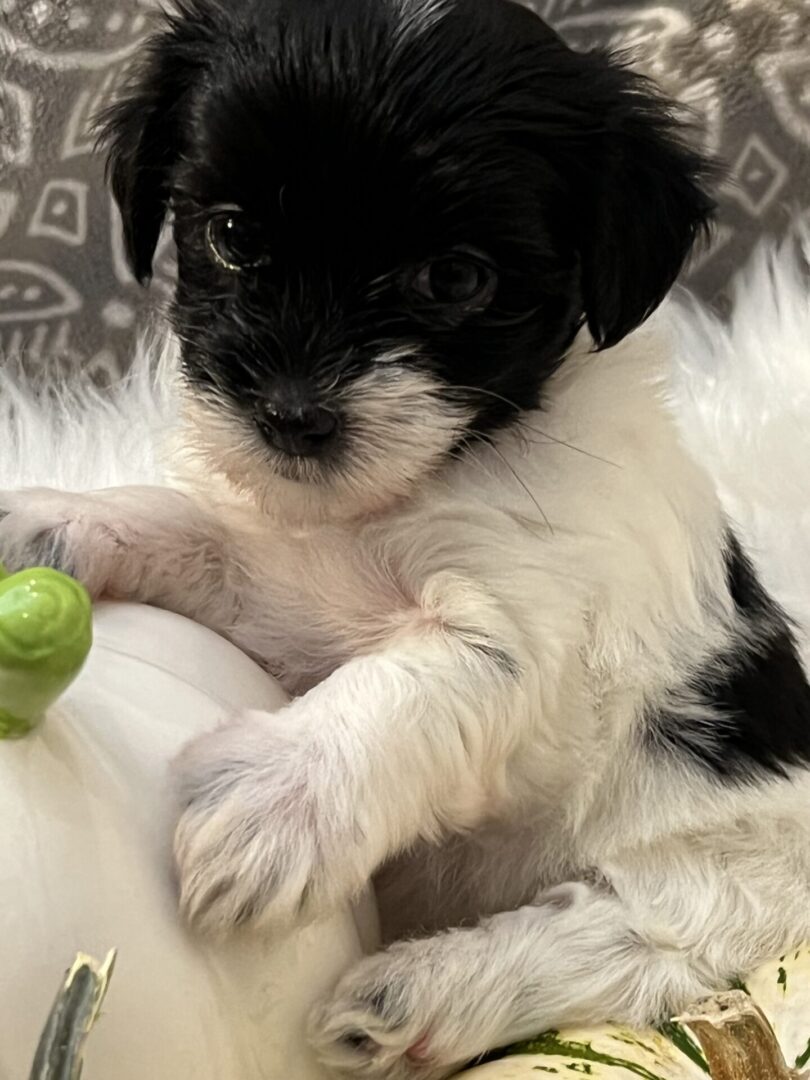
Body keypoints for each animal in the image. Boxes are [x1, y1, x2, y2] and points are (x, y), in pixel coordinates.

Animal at [1, 0, 810, 1075]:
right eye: (232, 236)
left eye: (455, 279)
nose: (292, 415)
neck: (420, 483)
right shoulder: (283, 581)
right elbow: (186, 524)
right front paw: (52, 521)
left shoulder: (539, 634)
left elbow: (426, 674)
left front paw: (282, 801)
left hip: (734, 884)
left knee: (631, 940)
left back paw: (413, 994)